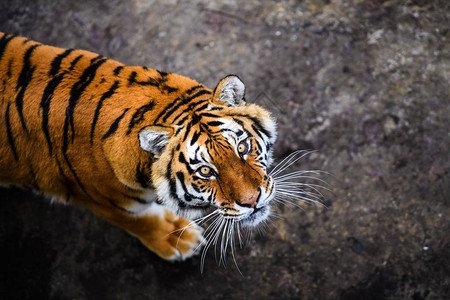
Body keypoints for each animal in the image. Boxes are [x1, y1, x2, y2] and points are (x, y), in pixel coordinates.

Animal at [0, 32, 280, 262]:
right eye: (205, 171)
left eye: (242, 148)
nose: (252, 201)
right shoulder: (105, 203)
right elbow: (141, 222)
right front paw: (178, 240)